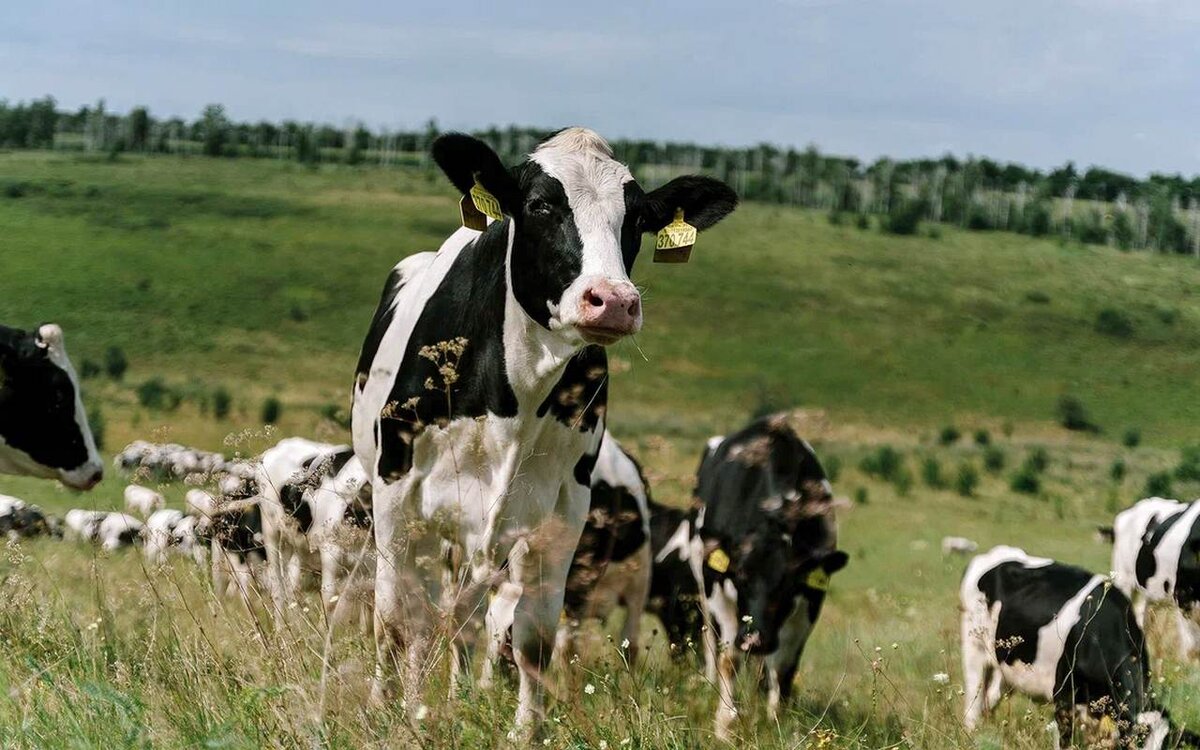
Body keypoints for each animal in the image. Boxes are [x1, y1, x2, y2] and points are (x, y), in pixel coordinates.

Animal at [350, 126, 734, 729]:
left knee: (465, 614)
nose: (613, 301)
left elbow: (532, 637)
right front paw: (386, 712)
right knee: (425, 610)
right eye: (539, 205)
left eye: (637, 218)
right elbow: (392, 618)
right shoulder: (395, 492)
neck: (516, 398)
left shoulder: (561, 513)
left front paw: (523, 730)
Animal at [691, 412, 849, 739]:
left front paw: (777, 721)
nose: (756, 639)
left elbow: (785, 666)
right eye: (740, 575)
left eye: (789, 585)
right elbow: (729, 658)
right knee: (711, 638)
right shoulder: (719, 588)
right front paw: (725, 724)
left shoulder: (812, 599)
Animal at [964, 544, 1200, 748]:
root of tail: (997, 553)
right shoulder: (1064, 698)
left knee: (990, 698)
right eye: (1131, 744)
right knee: (972, 703)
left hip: (1005, 666)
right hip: (973, 648)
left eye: (1169, 747)